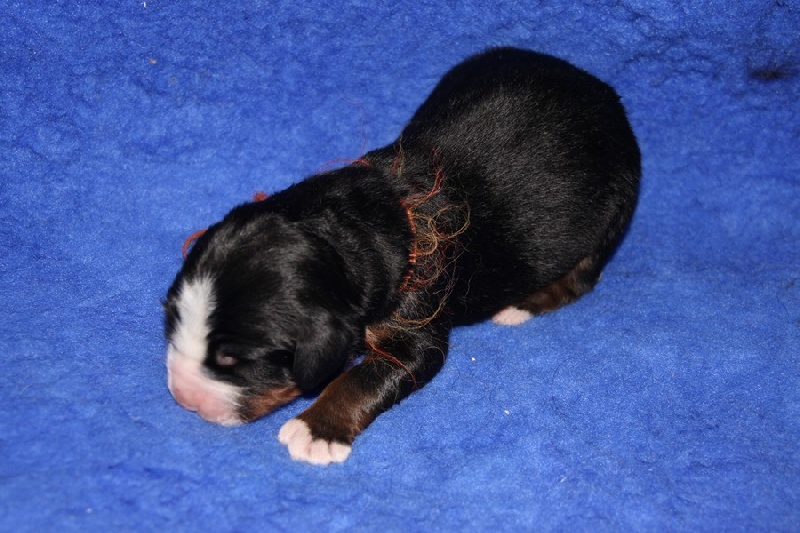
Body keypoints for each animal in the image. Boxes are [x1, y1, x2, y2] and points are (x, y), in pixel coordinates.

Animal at [163, 47, 641, 465]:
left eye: (233, 359)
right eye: (171, 320)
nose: (183, 398)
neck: (361, 223)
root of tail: (596, 86)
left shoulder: (417, 320)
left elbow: (363, 378)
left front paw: (316, 430)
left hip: (617, 202)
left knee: (582, 278)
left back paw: (520, 306)